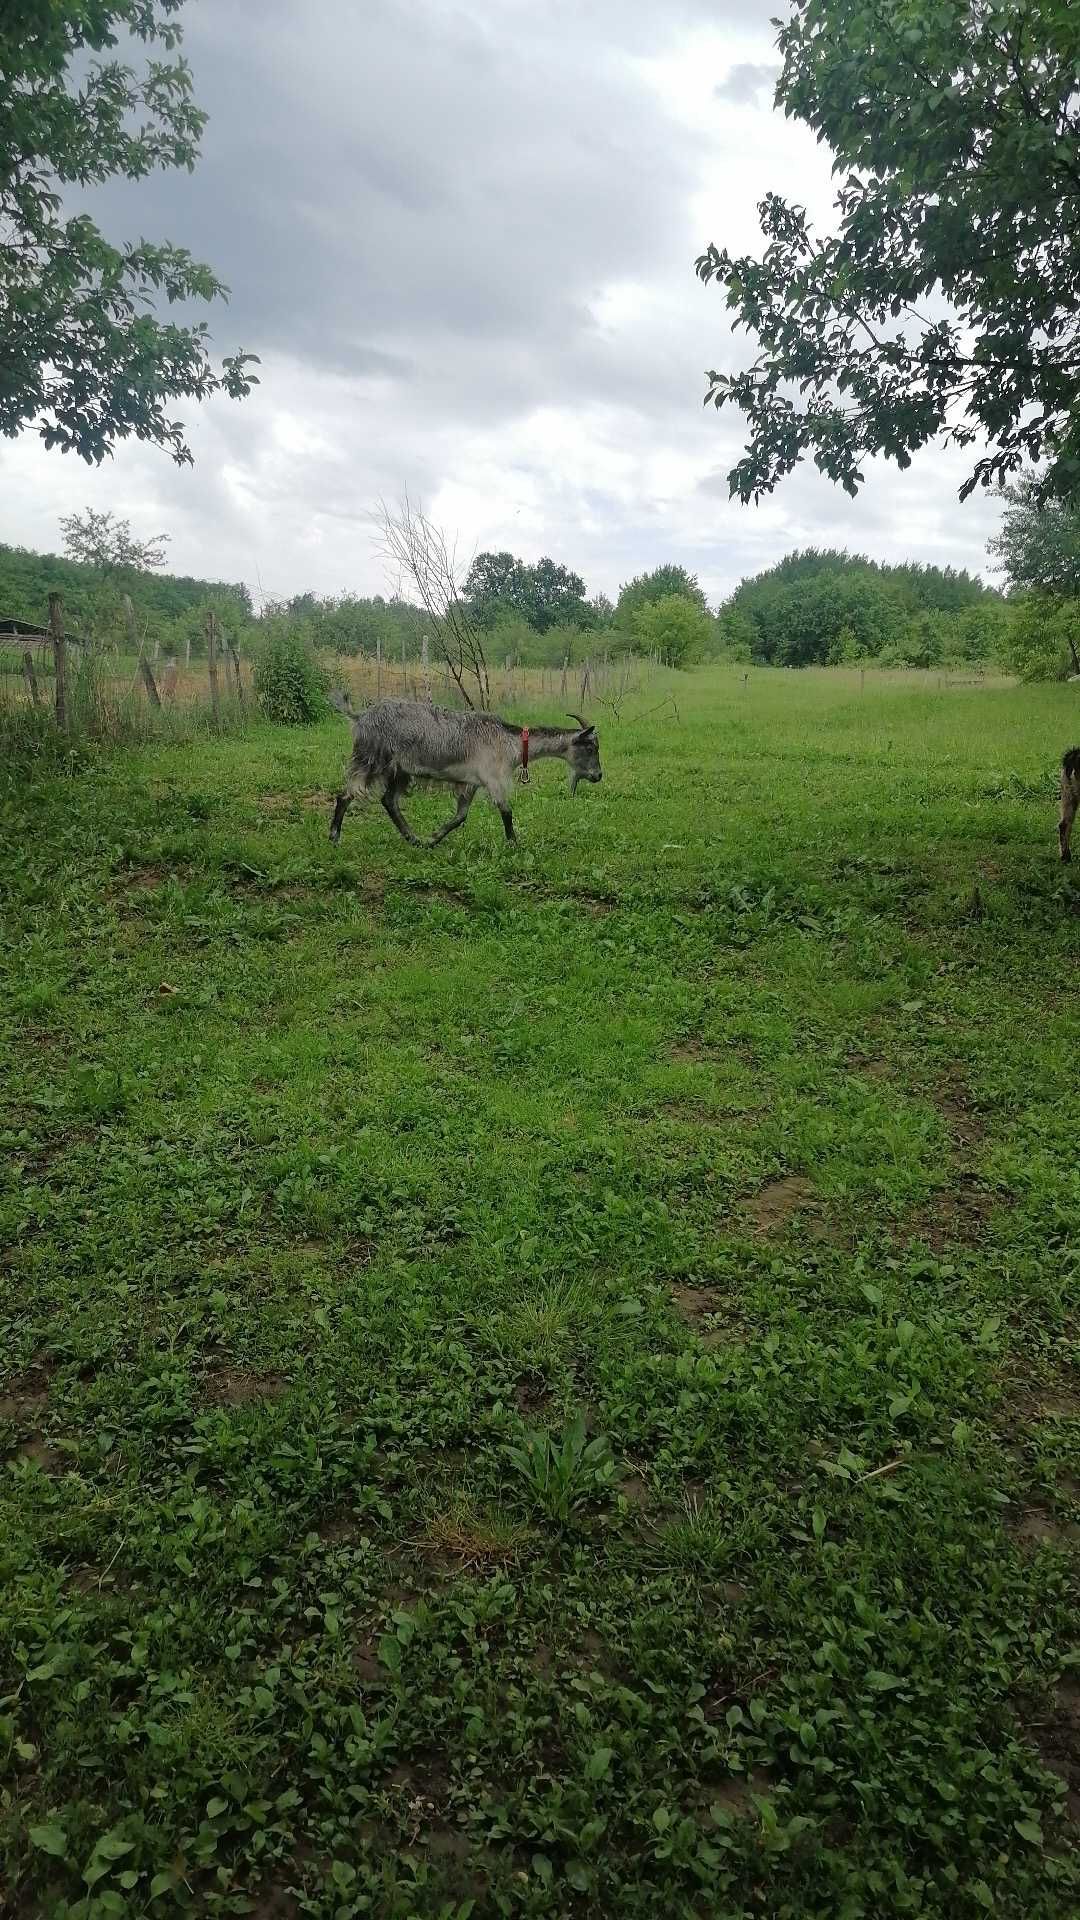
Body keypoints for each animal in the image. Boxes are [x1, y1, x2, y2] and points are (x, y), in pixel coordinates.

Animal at [322, 691, 599, 840]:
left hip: (399, 771)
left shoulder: (471, 782)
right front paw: (514, 844)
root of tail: (360, 716)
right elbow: (506, 811)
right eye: (590, 747)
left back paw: (413, 838)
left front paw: (434, 838)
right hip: (371, 760)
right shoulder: (493, 779)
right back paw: (334, 836)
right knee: (346, 794)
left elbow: (460, 817)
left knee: (389, 801)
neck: (510, 741)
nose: (598, 775)